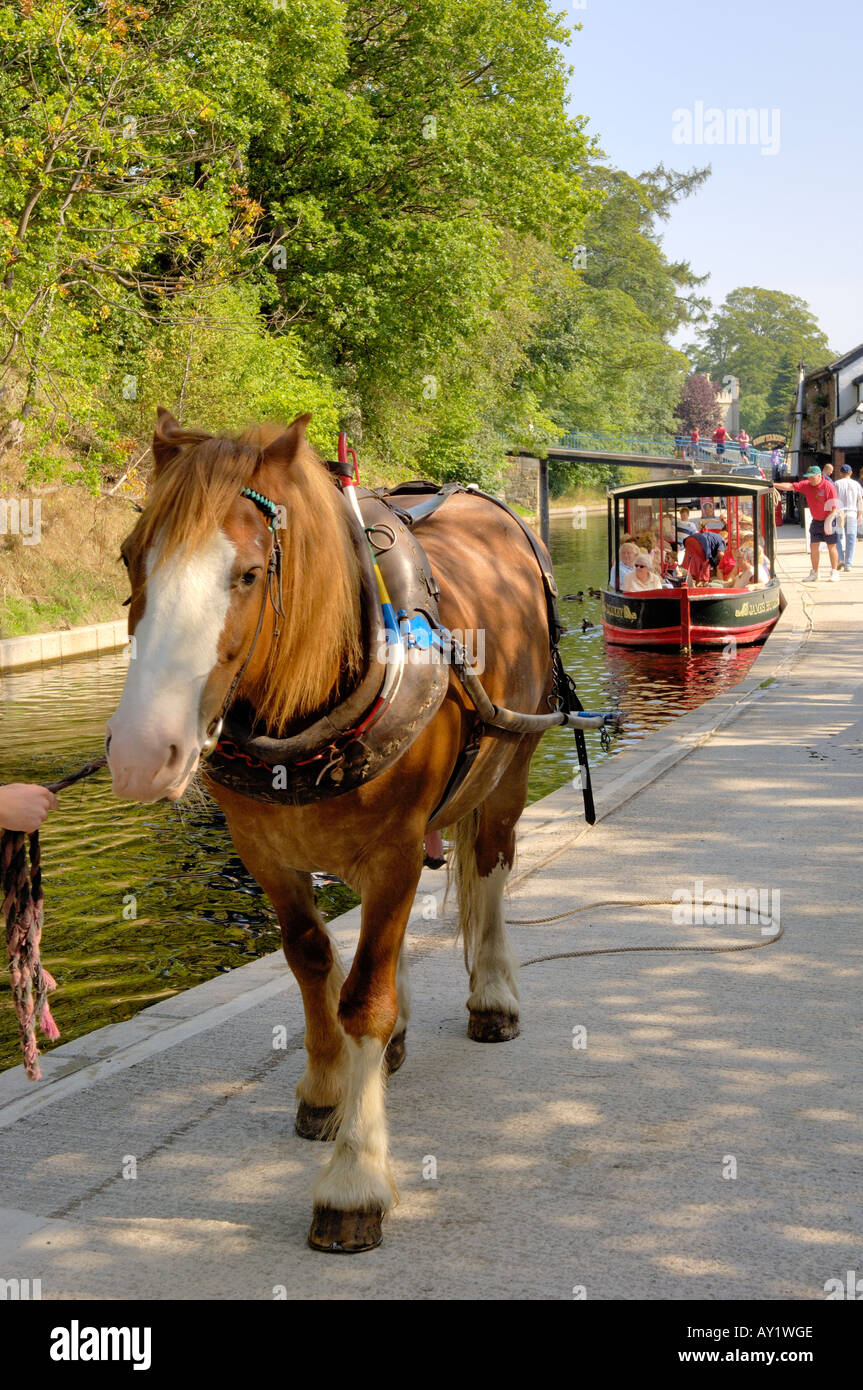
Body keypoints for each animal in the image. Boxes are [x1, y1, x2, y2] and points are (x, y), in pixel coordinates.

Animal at [106, 408, 555, 1253]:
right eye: (128, 556)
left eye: (250, 573)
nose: (143, 753)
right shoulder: (264, 853)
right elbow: (313, 961)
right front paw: (324, 1087)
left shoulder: (392, 848)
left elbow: (363, 1001)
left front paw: (354, 1179)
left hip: (512, 762)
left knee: (489, 865)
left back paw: (492, 994)